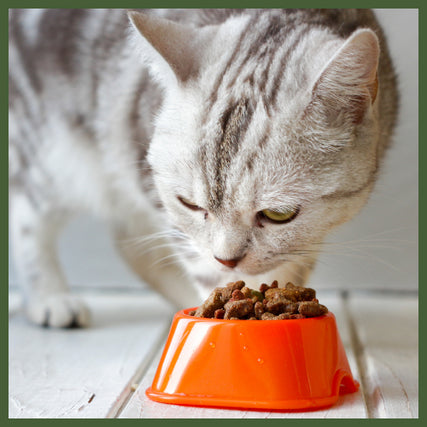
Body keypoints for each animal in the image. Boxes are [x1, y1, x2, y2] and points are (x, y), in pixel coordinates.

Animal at [9, 9, 398, 328]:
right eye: (190, 204)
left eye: (279, 214)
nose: (227, 259)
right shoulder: (159, 197)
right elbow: (209, 272)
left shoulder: (307, 236)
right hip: (50, 156)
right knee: (28, 219)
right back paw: (51, 299)